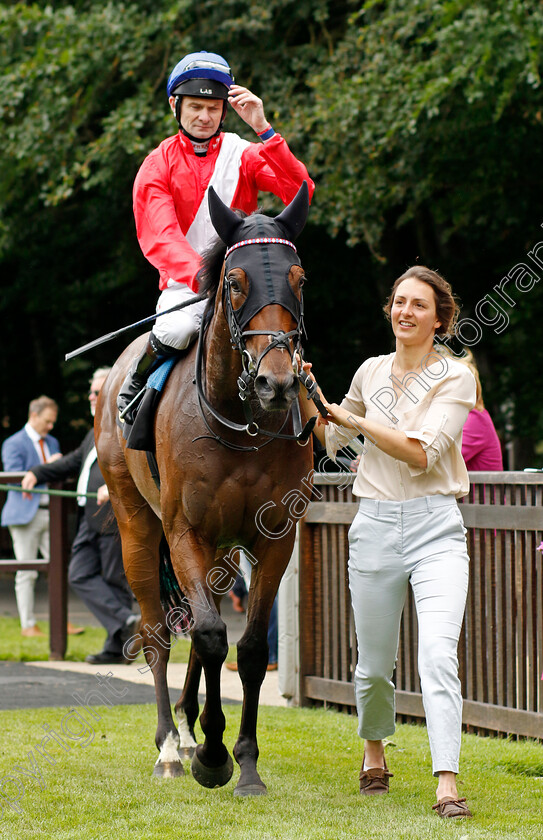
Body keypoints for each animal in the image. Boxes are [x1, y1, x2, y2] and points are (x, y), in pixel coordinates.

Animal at [94, 182, 314, 796]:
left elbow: (248, 645)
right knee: (156, 630)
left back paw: (190, 732)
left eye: (299, 279)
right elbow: (212, 635)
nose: (276, 382)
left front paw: (244, 761)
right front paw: (214, 757)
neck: (240, 425)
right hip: (138, 527)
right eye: (234, 283)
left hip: (219, 548)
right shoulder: (183, 530)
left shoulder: (273, 537)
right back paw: (173, 745)